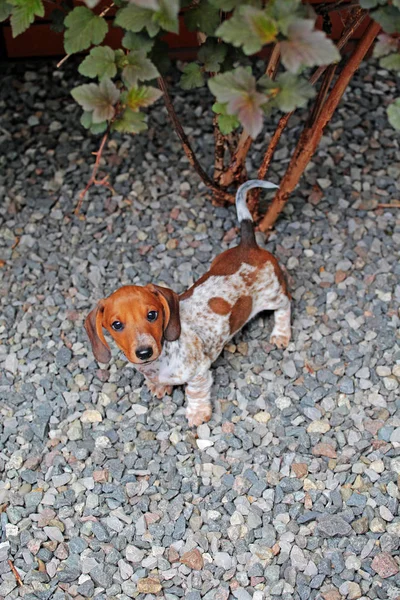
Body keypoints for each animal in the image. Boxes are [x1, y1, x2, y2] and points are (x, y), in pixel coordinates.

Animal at [85, 179, 290, 426]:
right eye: (116, 325)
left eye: (152, 314)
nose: (144, 352)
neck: (162, 357)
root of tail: (249, 245)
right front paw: (159, 386)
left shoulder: (199, 372)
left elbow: (195, 392)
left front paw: (197, 413)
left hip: (272, 294)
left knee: (285, 305)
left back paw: (281, 334)